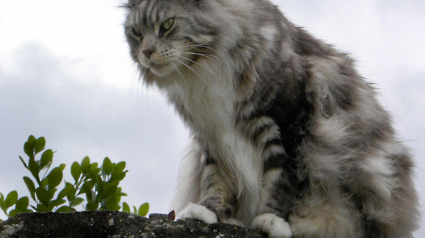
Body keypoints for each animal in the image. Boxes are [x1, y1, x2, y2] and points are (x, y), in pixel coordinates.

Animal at [121, 0, 418, 238]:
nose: (146, 52)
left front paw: (273, 220)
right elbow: (214, 179)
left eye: (167, 25)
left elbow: (281, 179)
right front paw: (207, 212)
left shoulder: (288, 123)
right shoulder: (212, 134)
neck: (202, 71)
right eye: (136, 32)